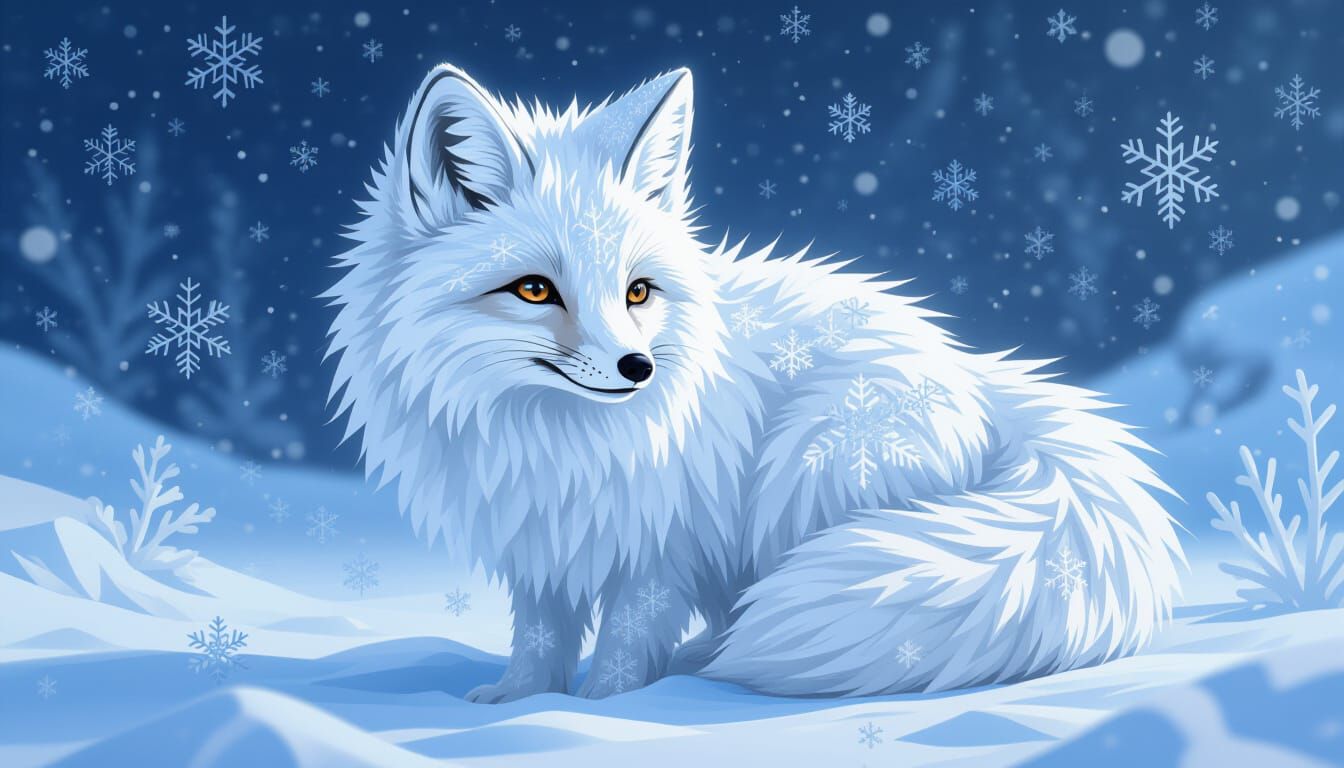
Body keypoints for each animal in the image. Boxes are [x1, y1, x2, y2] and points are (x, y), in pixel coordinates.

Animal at [322, 63, 1184, 701]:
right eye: (535, 290)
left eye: (638, 291)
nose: (639, 369)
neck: (554, 440)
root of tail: (983, 378)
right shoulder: (541, 539)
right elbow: (540, 637)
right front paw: (518, 705)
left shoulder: (658, 544)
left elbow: (625, 637)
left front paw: (606, 708)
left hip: (808, 470)